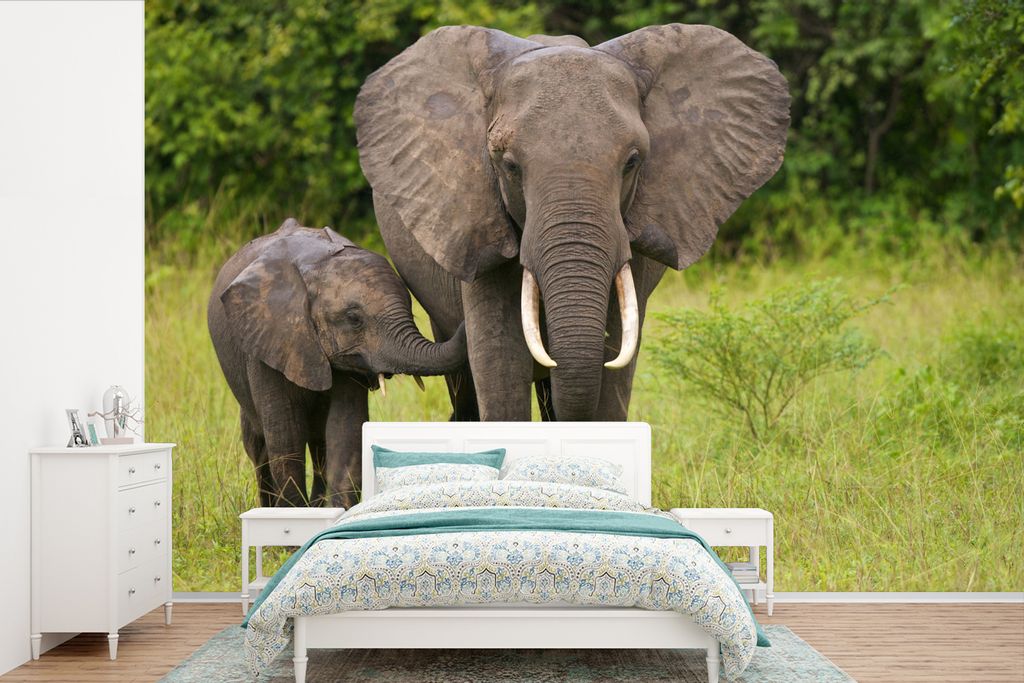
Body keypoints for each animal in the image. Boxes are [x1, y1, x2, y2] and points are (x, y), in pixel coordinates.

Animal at [208, 219, 467, 507]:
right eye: (354, 319)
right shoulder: (267, 341)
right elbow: (286, 440)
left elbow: (345, 431)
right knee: (259, 447)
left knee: (319, 442)